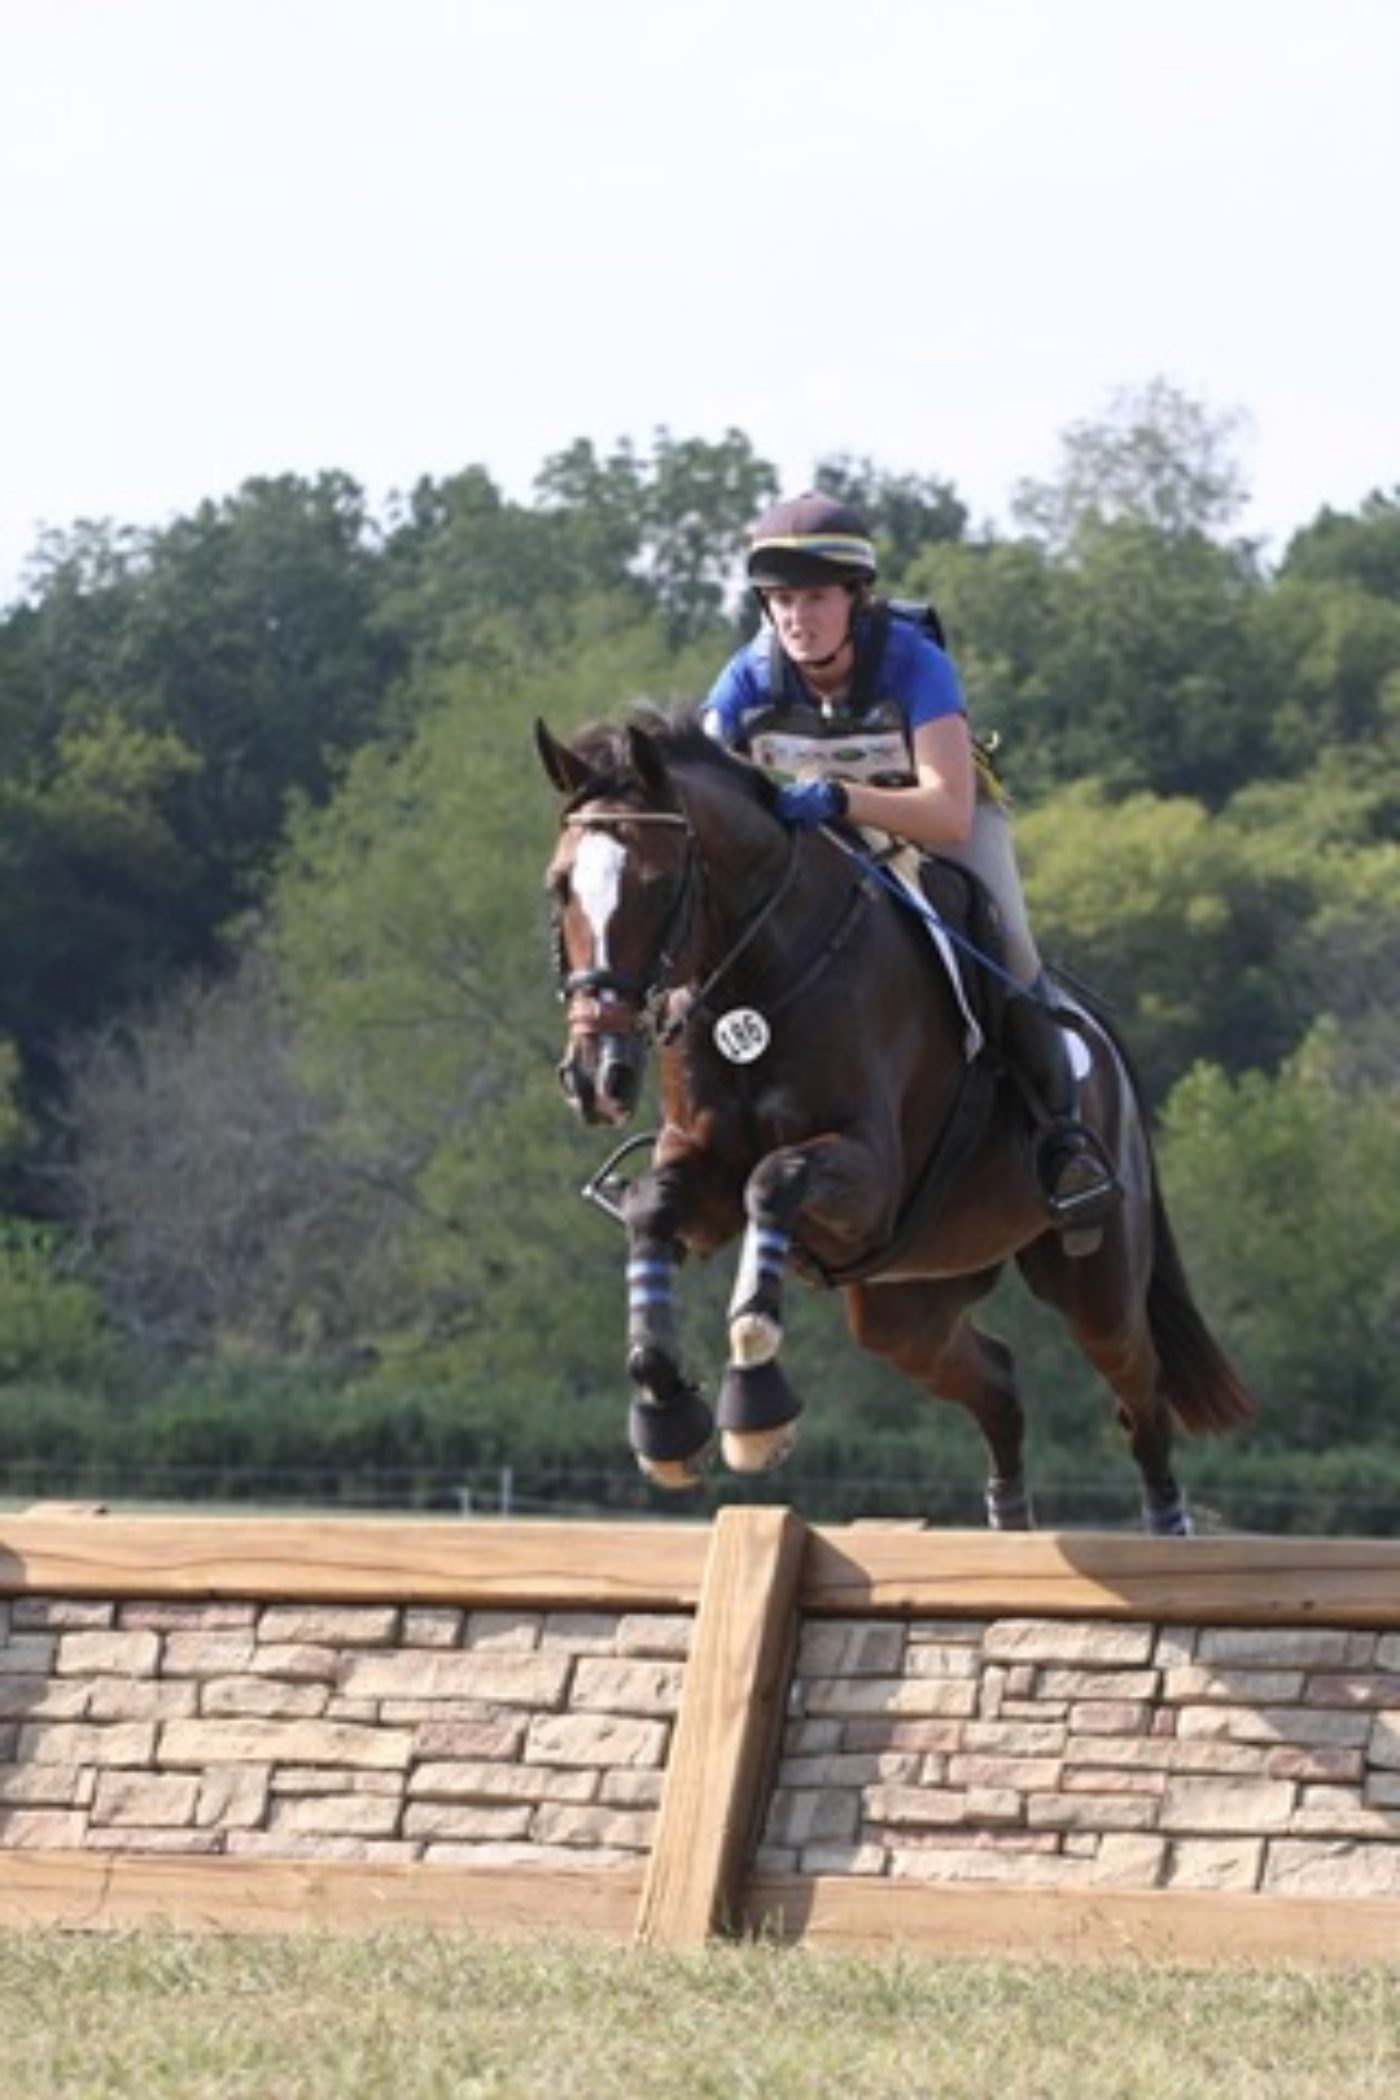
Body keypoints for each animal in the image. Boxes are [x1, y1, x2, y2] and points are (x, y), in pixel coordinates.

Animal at [537, 697, 1259, 1537]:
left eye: (656, 886)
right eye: (559, 888)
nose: (596, 1075)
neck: (759, 979)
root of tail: (1100, 1037)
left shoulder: (869, 1174)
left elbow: (772, 1181)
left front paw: (756, 1410)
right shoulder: (704, 1180)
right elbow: (656, 1208)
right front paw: (667, 1421)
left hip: (1095, 1277)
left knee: (1139, 1392)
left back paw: (1167, 1526)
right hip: (905, 1299)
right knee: (996, 1381)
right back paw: (1009, 1523)